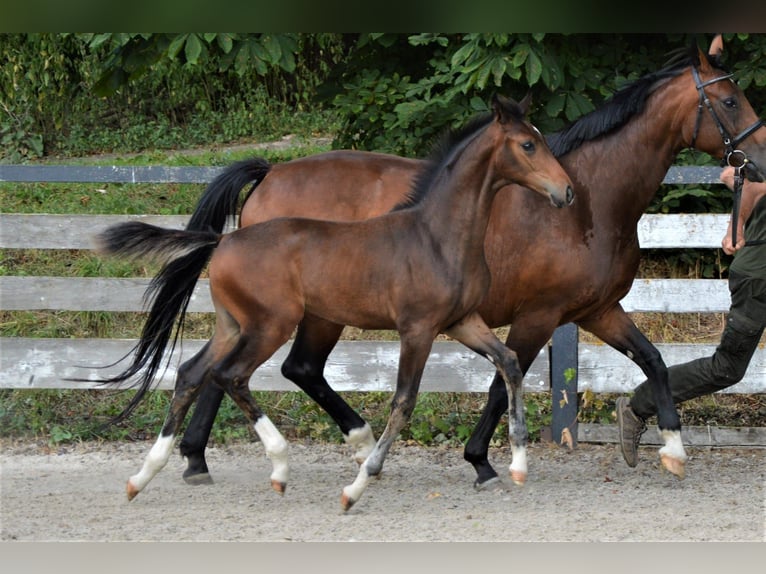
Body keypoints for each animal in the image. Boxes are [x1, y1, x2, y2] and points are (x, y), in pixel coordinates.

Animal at [97, 95, 576, 512]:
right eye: (528, 144)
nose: (567, 192)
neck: (437, 236)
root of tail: (224, 240)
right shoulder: (418, 329)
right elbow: (404, 401)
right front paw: (357, 486)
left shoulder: (463, 321)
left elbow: (509, 363)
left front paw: (516, 466)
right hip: (272, 325)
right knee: (232, 375)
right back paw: (280, 467)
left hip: (232, 325)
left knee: (191, 373)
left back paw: (143, 476)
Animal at [177, 36, 764, 488]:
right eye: (729, 100)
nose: (757, 161)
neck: (590, 202)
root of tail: (270, 174)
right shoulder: (540, 315)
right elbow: (503, 383)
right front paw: (482, 459)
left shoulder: (597, 311)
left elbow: (654, 361)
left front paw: (672, 448)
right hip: (304, 315)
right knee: (272, 368)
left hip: (281, 315)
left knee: (231, 368)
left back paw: (197, 458)